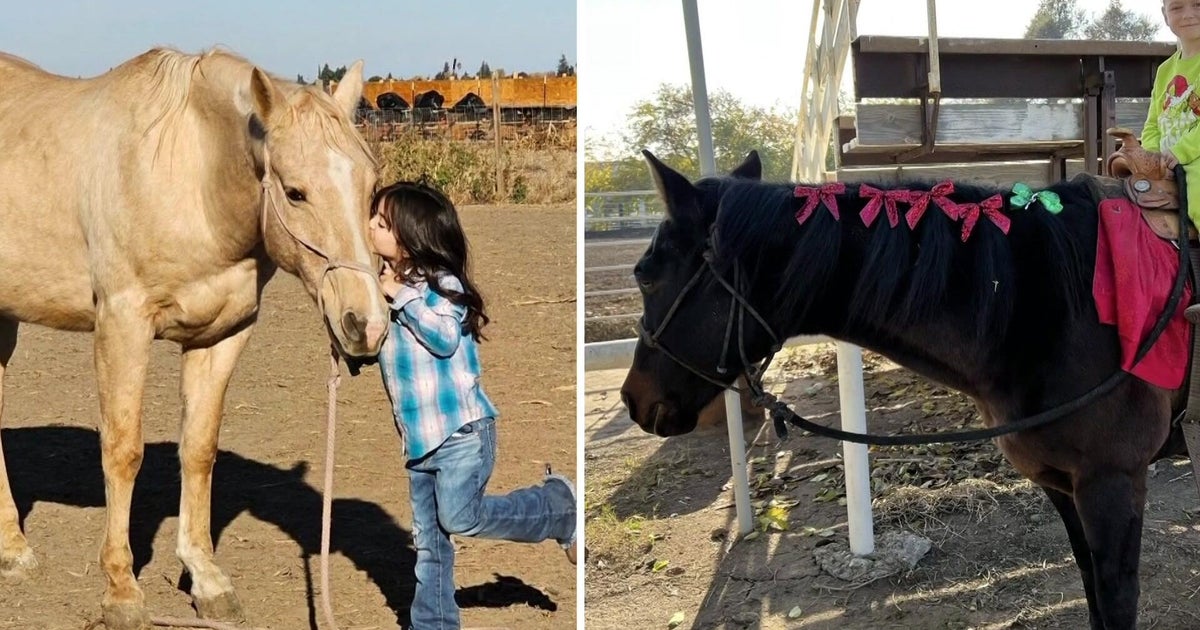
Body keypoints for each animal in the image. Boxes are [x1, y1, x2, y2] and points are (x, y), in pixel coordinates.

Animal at [0, 48, 388, 629]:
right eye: (295, 192)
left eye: (369, 189)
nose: (366, 323)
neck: (189, 177)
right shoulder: (122, 325)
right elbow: (123, 451)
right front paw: (121, 591)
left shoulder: (222, 335)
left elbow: (199, 449)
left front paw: (206, 578)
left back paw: (12, 549)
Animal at [620, 150, 1192, 630]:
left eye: (645, 276)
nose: (632, 400)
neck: (1049, 305)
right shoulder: (1062, 486)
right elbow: (1091, 591)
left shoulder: (1110, 485)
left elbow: (1114, 600)